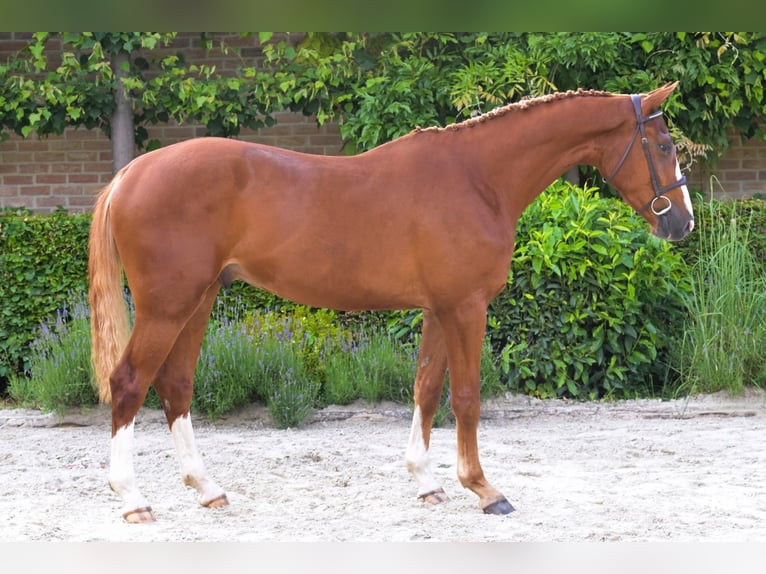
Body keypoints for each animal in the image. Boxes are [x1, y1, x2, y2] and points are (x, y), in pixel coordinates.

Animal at [88, 82, 696, 528]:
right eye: (665, 146)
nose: (683, 223)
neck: (478, 178)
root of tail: (129, 174)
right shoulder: (466, 308)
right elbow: (467, 397)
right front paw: (484, 489)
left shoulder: (438, 309)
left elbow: (426, 388)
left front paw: (427, 483)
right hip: (169, 307)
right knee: (129, 382)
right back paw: (133, 500)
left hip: (199, 300)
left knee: (176, 385)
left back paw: (208, 489)